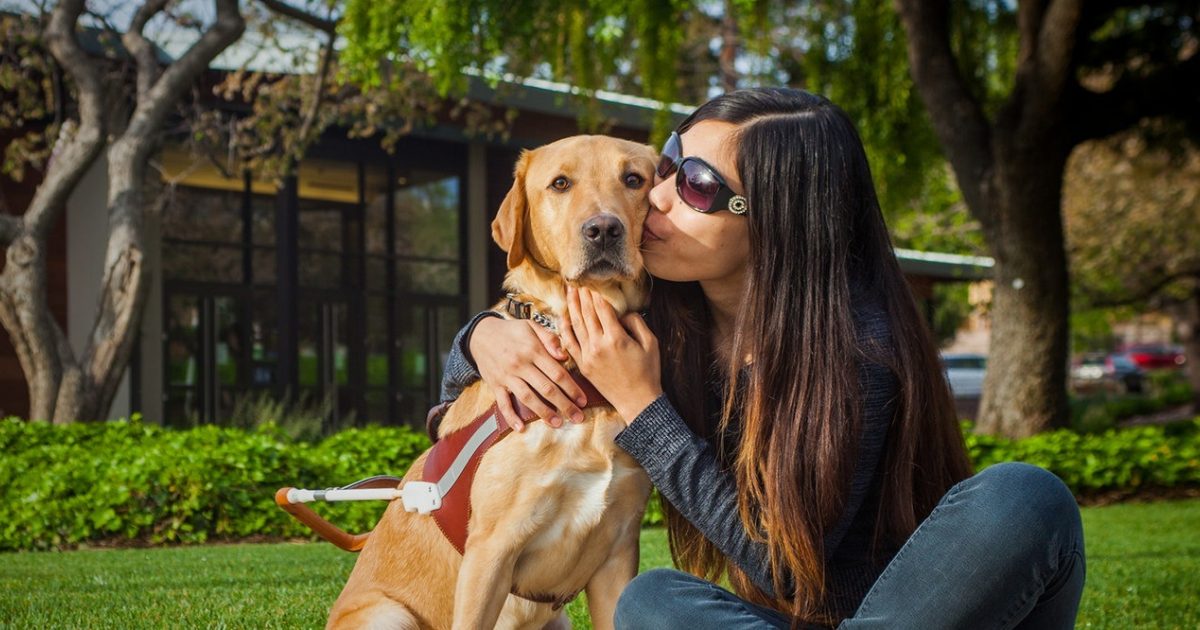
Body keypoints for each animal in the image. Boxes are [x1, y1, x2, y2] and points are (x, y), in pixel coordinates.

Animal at [328, 137, 657, 628]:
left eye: (634, 179)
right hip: (388, 615)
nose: (603, 229)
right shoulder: (490, 551)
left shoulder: (617, 555)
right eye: (561, 184)